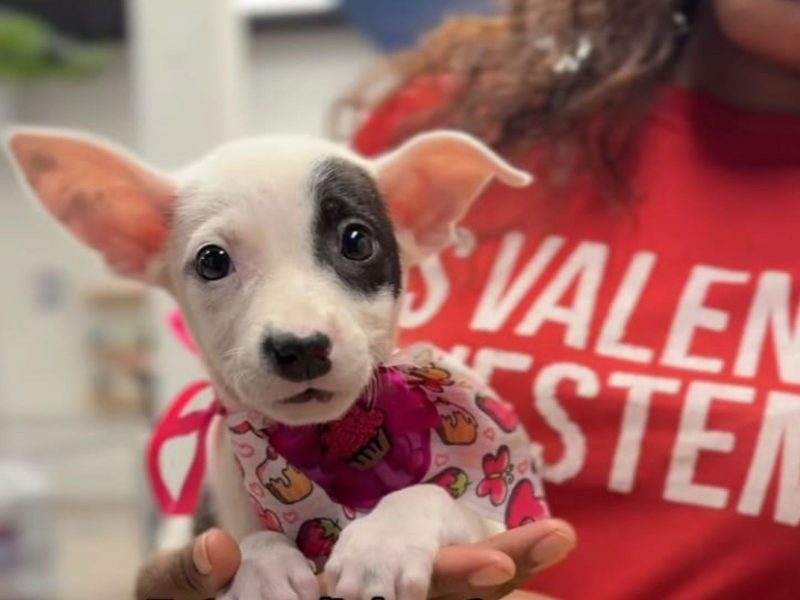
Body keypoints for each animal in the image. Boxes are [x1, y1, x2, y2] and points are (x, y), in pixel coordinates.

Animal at [4, 130, 544, 600]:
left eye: (356, 240)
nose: (300, 347)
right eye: (212, 260)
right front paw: (260, 566)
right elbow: (242, 540)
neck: (320, 443)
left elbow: (441, 497)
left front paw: (386, 541)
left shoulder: (488, 520)